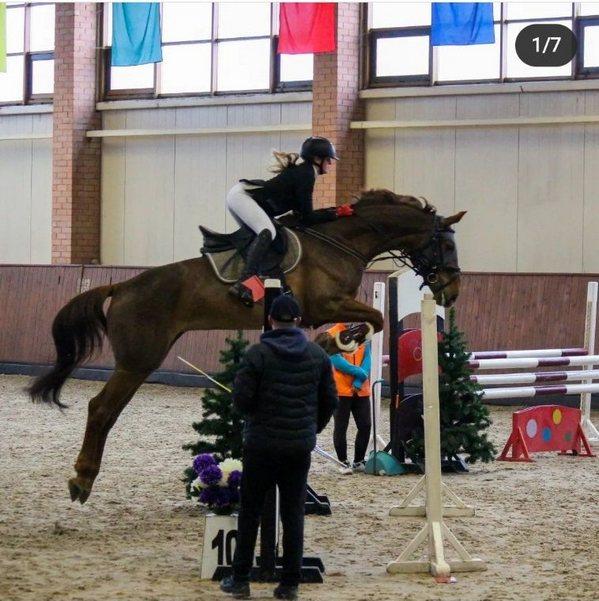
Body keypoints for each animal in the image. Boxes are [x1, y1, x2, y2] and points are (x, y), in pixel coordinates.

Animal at [28, 189, 466, 502]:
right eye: (446, 246)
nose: (452, 291)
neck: (340, 241)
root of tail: (121, 287)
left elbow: (370, 322)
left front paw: (334, 340)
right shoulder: (324, 304)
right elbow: (374, 320)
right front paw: (336, 340)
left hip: (142, 359)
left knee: (105, 410)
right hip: (139, 360)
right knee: (102, 409)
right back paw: (82, 480)